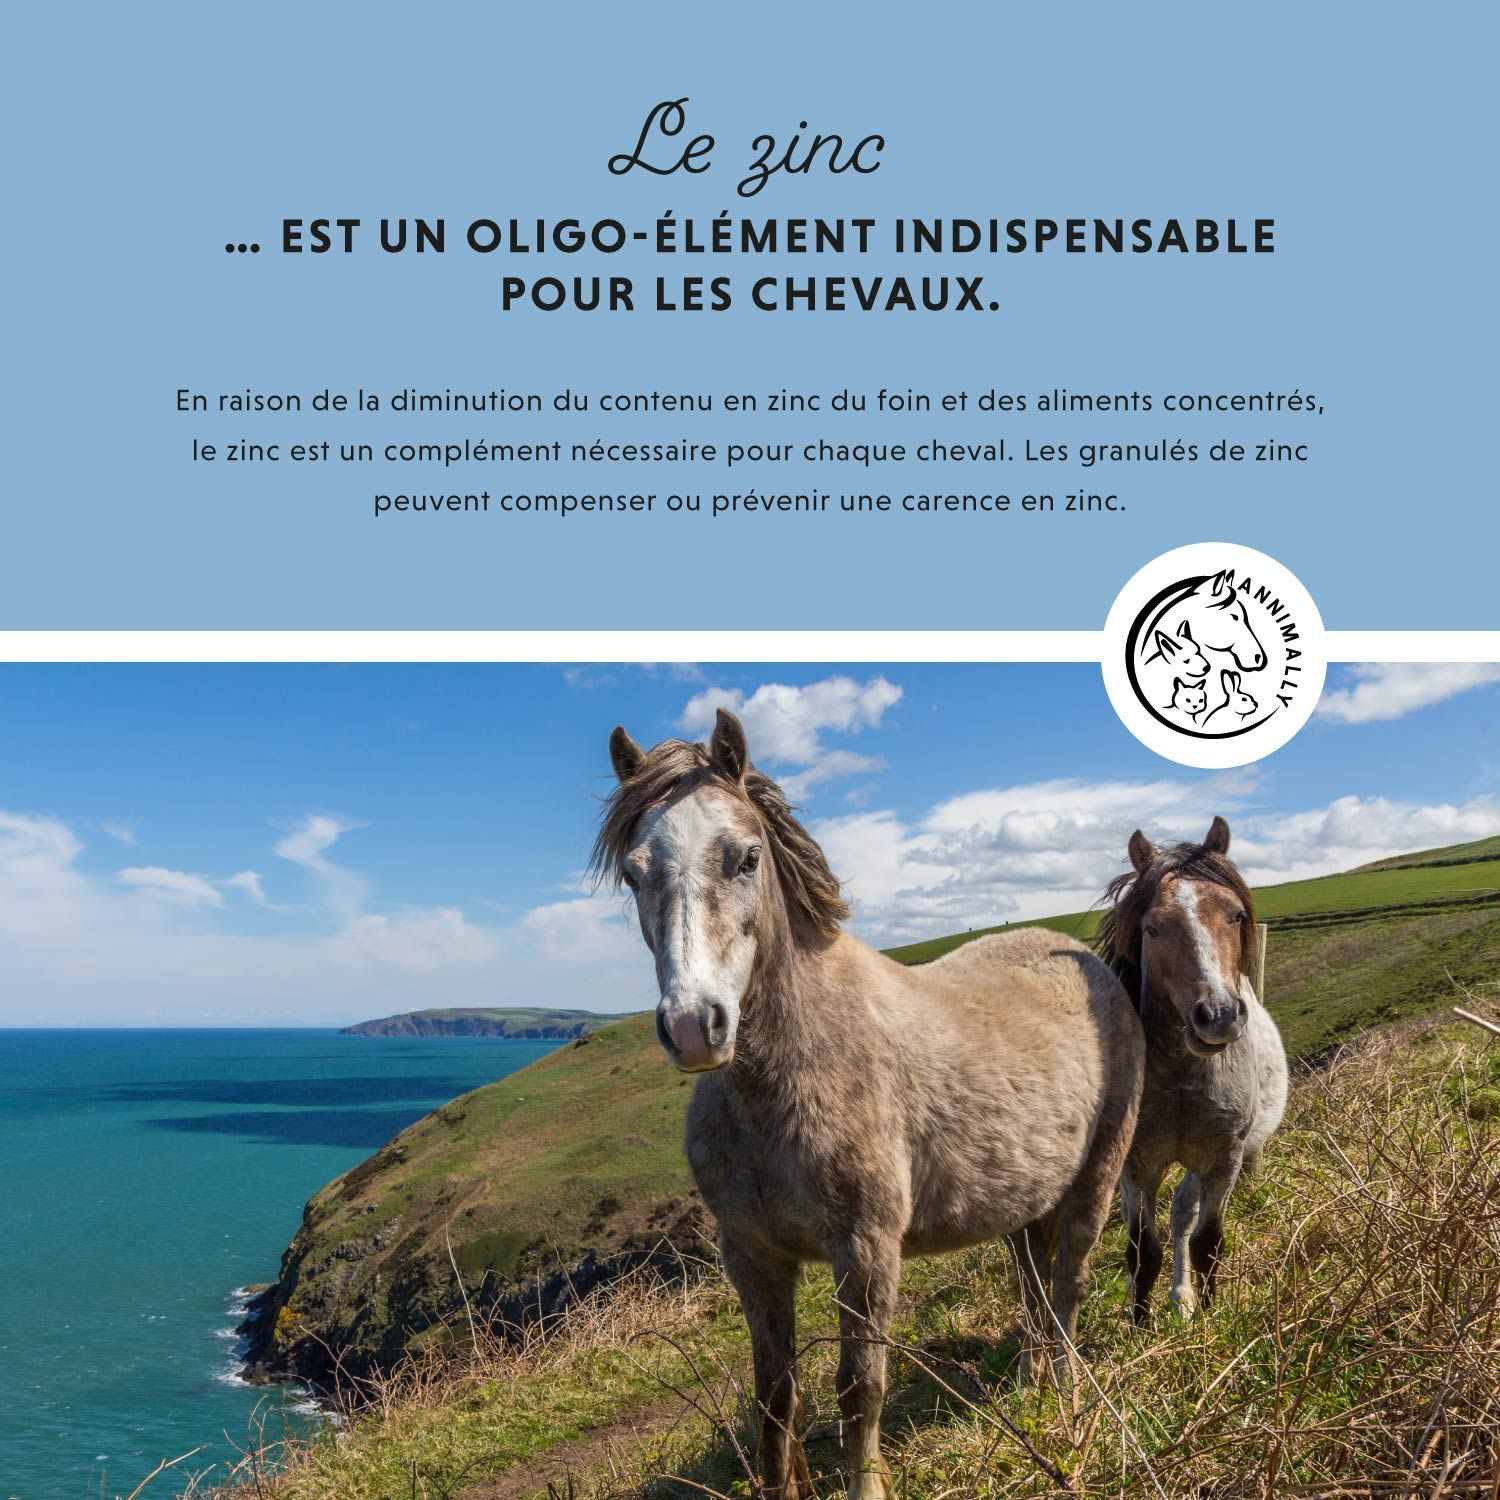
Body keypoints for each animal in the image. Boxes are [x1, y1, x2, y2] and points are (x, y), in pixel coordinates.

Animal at [593, 709, 1145, 1500]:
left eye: (745, 858)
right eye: (634, 873)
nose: (696, 1025)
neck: (783, 1085)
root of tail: (1086, 962)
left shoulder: (865, 1248)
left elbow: (861, 1388)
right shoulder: (753, 1255)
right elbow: (775, 1396)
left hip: (1097, 1178)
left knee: (1067, 1284)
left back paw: (1066, 1392)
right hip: (1022, 1202)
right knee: (1034, 1287)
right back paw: (1031, 1385)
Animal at [1095, 817, 1287, 1323]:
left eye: (1236, 915)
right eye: (1152, 928)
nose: (1218, 1016)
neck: (1182, 1078)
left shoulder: (1224, 1160)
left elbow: (1207, 1242)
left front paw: (1211, 1315)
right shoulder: (1138, 1166)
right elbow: (1142, 1251)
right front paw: (1139, 1326)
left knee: (1183, 1213)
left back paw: (1183, 1298)